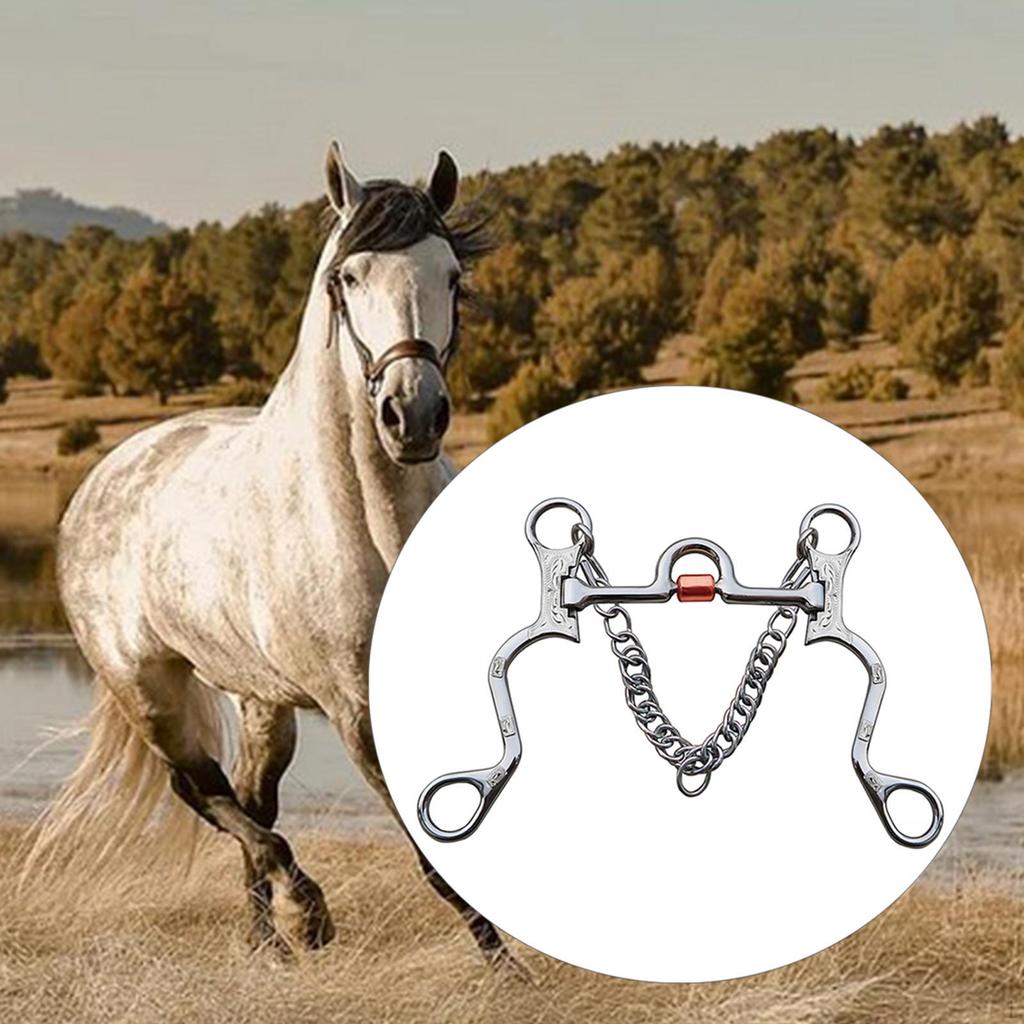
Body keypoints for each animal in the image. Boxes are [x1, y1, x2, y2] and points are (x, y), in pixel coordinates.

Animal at [24, 142, 518, 968]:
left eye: (452, 274)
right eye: (348, 279)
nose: (412, 415)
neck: (374, 526)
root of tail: (106, 472)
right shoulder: (356, 709)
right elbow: (431, 853)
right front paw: (512, 975)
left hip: (260, 700)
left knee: (251, 796)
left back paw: (269, 944)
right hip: (148, 688)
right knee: (205, 792)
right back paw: (303, 915)